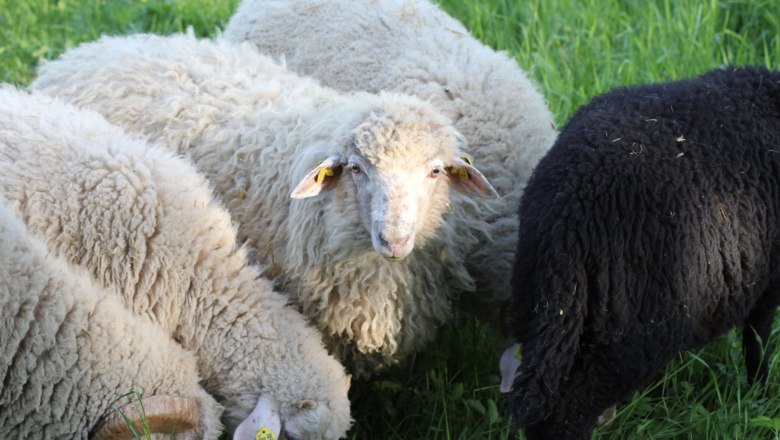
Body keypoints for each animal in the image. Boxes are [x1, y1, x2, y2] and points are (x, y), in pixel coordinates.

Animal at [507, 67, 780, 439]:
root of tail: (568, 219)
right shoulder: (771, 279)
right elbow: (758, 338)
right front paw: (761, 393)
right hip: (632, 334)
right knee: (568, 414)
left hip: (542, 313)